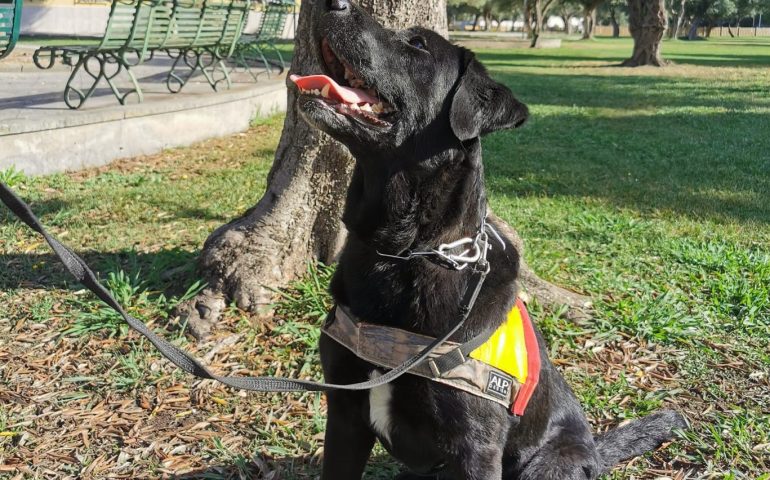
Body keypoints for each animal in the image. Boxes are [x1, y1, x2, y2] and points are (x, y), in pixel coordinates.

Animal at [292, 1, 688, 478]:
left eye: (417, 44)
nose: (332, 4)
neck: (405, 252)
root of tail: (595, 448)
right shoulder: (345, 413)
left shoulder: (474, 447)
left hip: (547, 464)